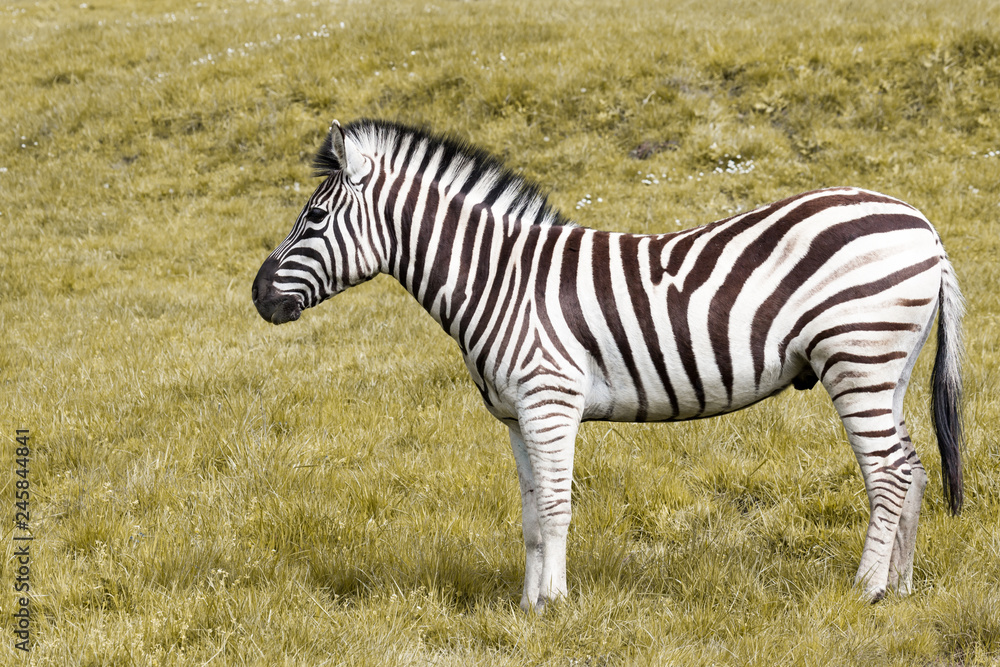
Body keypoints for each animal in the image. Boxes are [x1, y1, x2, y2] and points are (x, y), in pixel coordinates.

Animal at [252, 118, 964, 613]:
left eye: (315, 217)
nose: (258, 296)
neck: (499, 279)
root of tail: (923, 224)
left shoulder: (549, 399)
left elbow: (557, 506)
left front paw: (555, 605)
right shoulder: (517, 416)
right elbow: (531, 515)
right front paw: (525, 606)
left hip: (858, 358)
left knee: (888, 474)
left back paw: (866, 590)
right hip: (888, 368)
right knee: (913, 467)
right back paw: (900, 590)